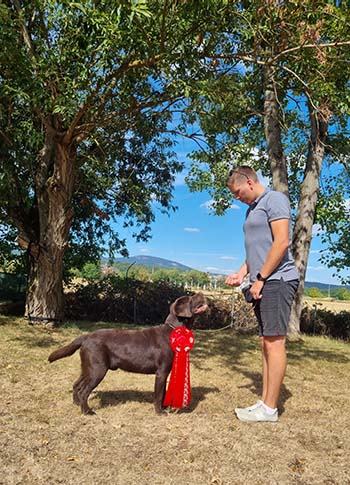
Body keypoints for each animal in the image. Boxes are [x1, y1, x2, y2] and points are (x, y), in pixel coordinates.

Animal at [49, 294, 208, 414]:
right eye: (191, 298)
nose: (201, 294)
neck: (173, 330)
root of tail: (85, 336)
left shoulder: (166, 372)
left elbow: (163, 393)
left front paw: (164, 408)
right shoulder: (161, 372)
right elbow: (158, 394)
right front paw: (160, 412)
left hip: (88, 367)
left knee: (76, 384)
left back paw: (76, 404)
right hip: (97, 369)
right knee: (84, 391)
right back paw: (87, 411)